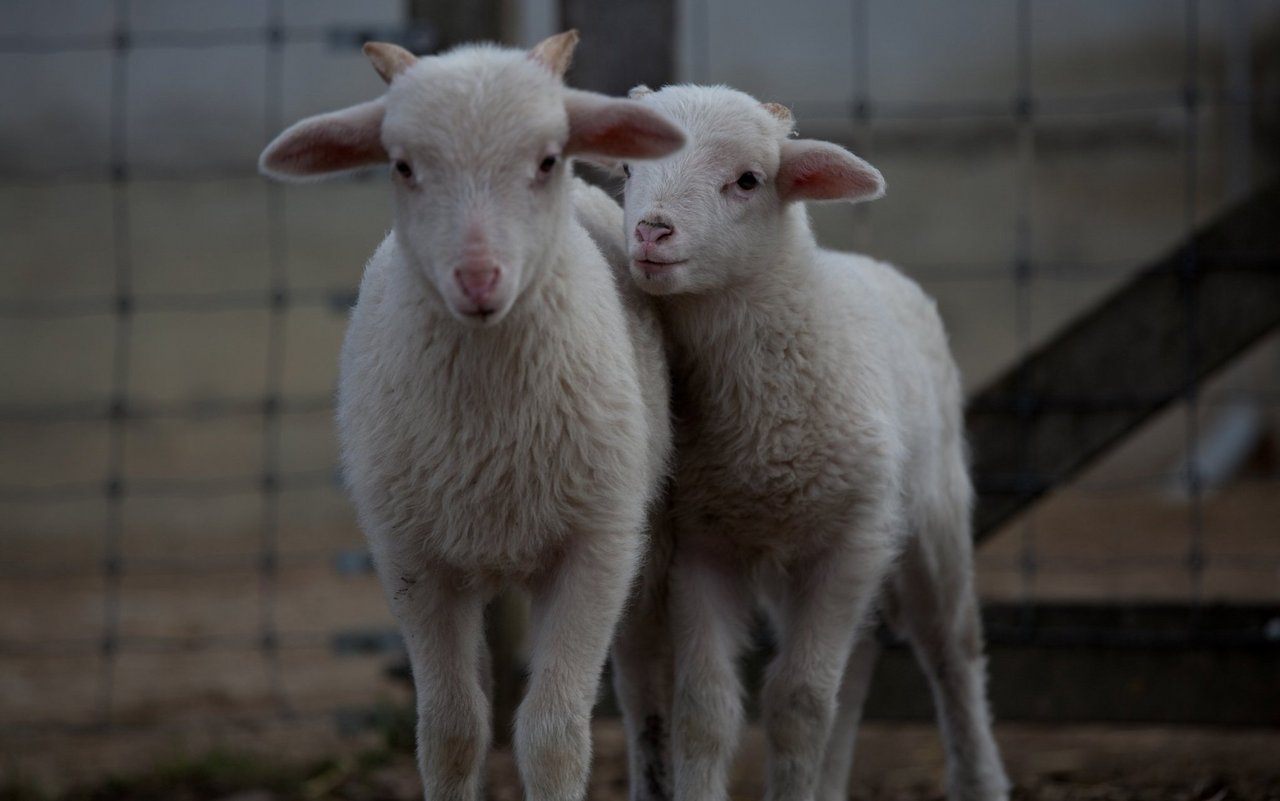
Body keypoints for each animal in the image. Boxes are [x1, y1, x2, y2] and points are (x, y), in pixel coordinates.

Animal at [254, 32, 686, 798]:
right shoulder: (411, 559)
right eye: (402, 166)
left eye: (546, 159)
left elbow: (553, 736)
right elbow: (451, 732)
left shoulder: (598, 547)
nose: (479, 279)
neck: (491, 428)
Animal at [616, 82, 1008, 798]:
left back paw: (980, 777)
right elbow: (706, 712)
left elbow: (796, 707)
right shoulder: (702, 546)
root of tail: (866, 262)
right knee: (855, 670)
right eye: (628, 170)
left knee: (953, 653)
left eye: (748, 180)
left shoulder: (849, 542)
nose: (651, 232)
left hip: (930, 522)